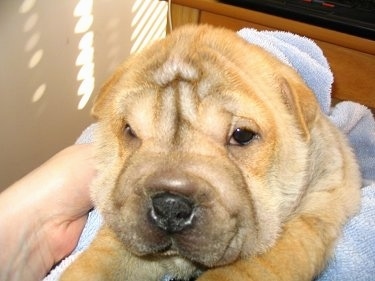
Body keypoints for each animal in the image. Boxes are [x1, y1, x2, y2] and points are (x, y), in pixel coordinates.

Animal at [61, 24, 362, 280]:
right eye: (130, 130)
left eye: (242, 135)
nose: (170, 206)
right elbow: (102, 258)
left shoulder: (311, 212)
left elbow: (256, 264)